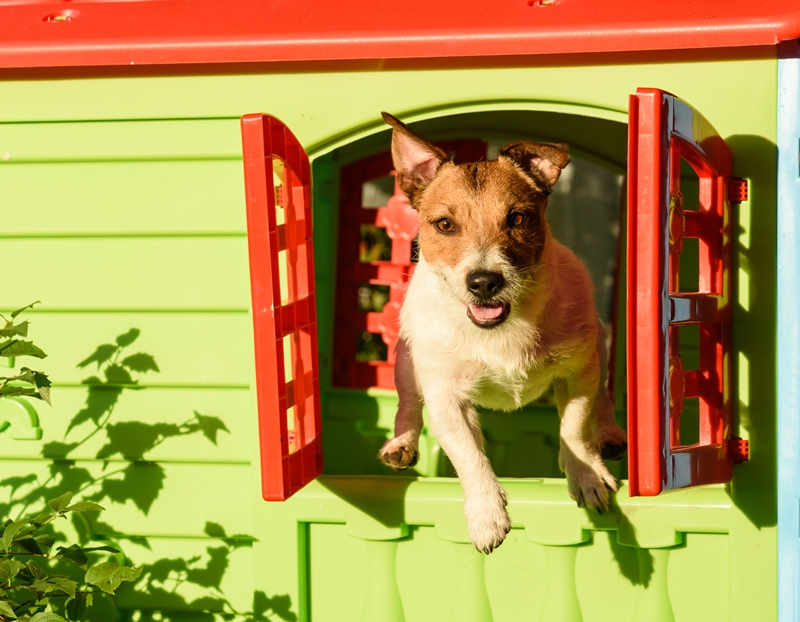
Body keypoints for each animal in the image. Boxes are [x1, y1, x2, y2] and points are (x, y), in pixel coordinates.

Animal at [378, 113, 628, 556]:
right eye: (445, 224)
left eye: (517, 218)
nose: (483, 282)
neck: (501, 329)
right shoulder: (447, 399)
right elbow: (469, 455)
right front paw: (486, 515)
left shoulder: (578, 374)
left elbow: (574, 428)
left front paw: (585, 474)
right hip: (407, 361)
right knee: (408, 404)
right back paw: (401, 444)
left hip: (599, 347)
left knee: (603, 400)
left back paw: (610, 434)